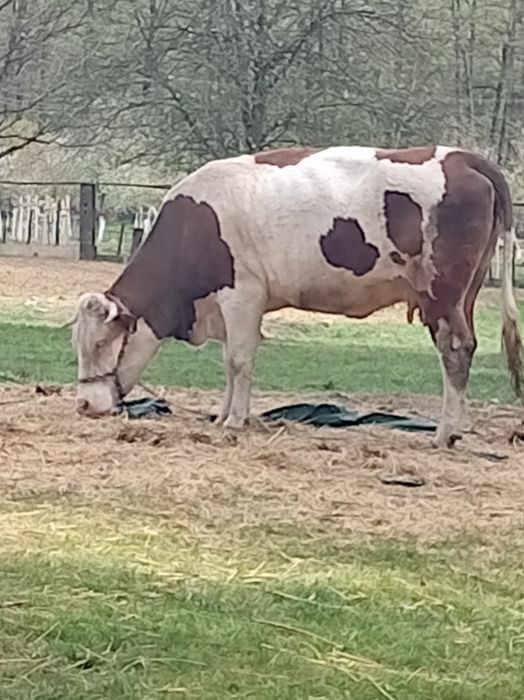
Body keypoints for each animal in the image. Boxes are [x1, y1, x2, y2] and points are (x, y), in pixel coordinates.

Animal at [71, 145, 522, 448]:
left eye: (102, 342)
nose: (85, 405)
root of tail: (462, 157)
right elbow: (229, 363)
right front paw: (223, 415)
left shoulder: (243, 295)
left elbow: (239, 361)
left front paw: (234, 421)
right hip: (466, 292)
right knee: (467, 347)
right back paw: (457, 429)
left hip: (441, 294)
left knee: (455, 350)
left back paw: (444, 434)